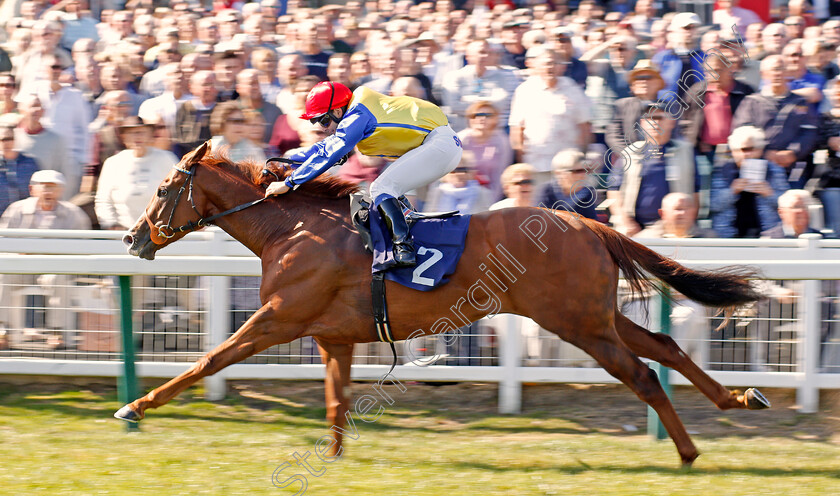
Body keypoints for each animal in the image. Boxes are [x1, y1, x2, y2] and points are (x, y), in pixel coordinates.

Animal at [116, 142, 768, 464]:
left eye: (163, 188)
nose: (132, 237)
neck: (293, 229)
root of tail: (588, 225)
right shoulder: (334, 336)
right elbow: (335, 401)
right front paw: (333, 458)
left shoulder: (278, 317)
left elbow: (208, 360)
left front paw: (135, 407)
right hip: (595, 316)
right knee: (665, 347)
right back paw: (739, 399)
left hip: (578, 323)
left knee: (643, 374)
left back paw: (688, 451)